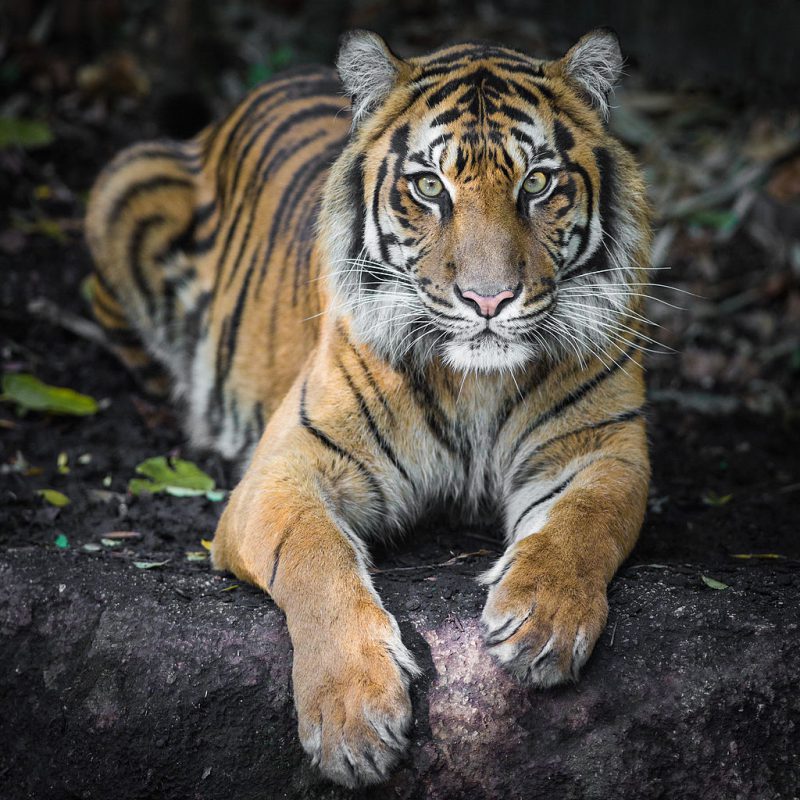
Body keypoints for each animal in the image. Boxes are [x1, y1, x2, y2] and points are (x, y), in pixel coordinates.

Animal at [85, 28, 652, 787]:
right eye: (429, 186)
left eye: (537, 182)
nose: (490, 300)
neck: (474, 384)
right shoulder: (286, 465)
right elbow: (313, 556)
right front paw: (351, 716)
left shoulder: (605, 447)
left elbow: (586, 522)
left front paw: (542, 619)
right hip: (121, 185)